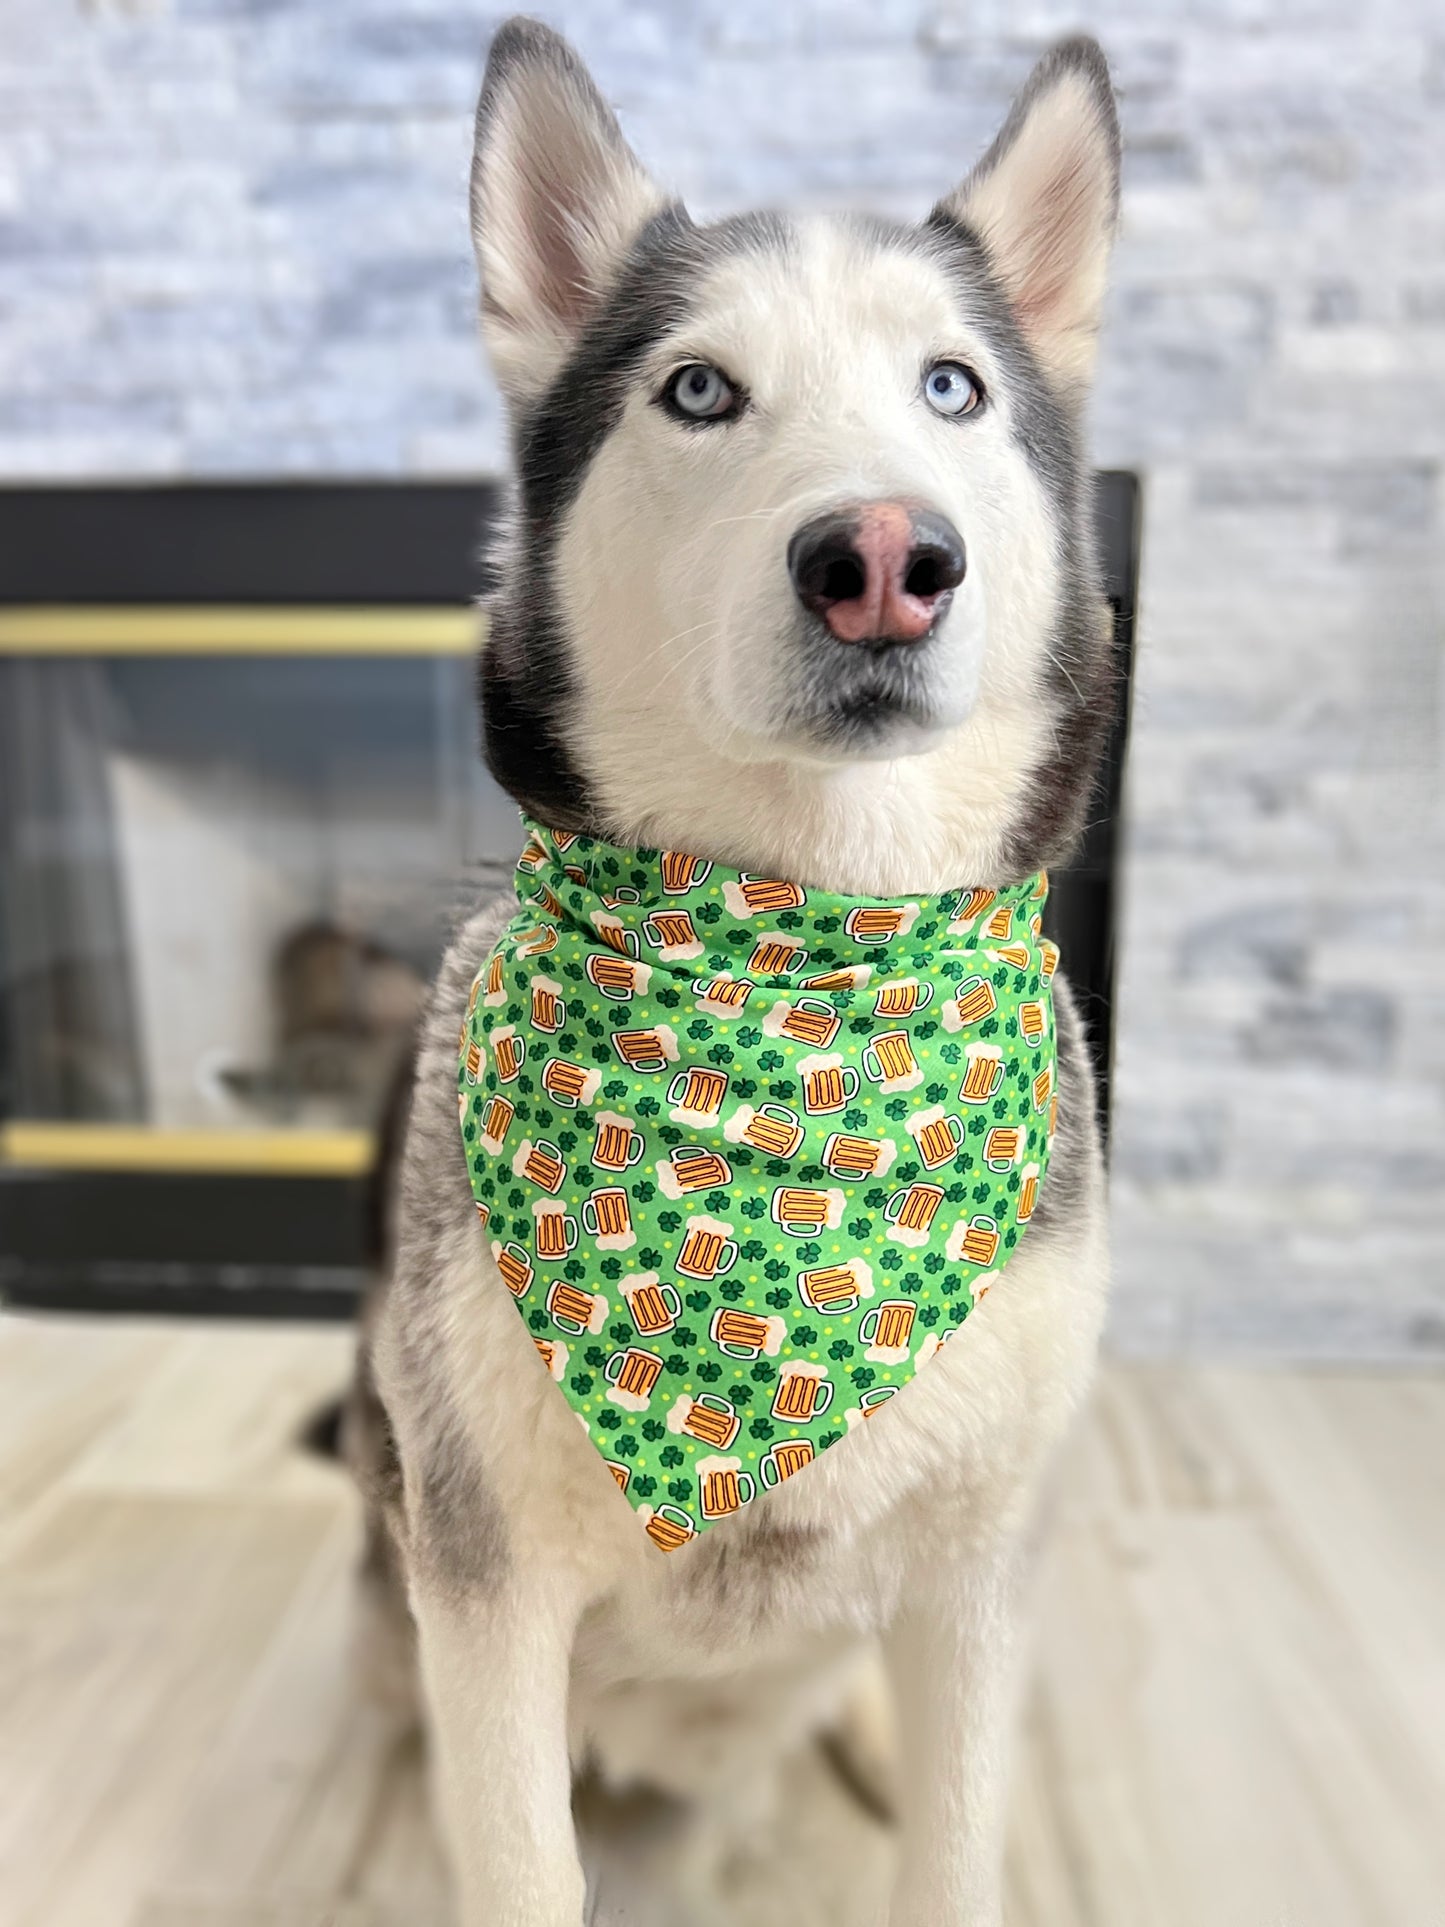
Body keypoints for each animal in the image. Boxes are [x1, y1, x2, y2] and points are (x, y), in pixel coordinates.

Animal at [367, 18, 1125, 1927]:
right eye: (699, 391)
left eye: (953, 389)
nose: (882, 560)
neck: (797, 959)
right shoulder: (486, 1586)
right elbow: (516, 1860)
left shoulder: (980, 1569)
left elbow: (955, 1845)